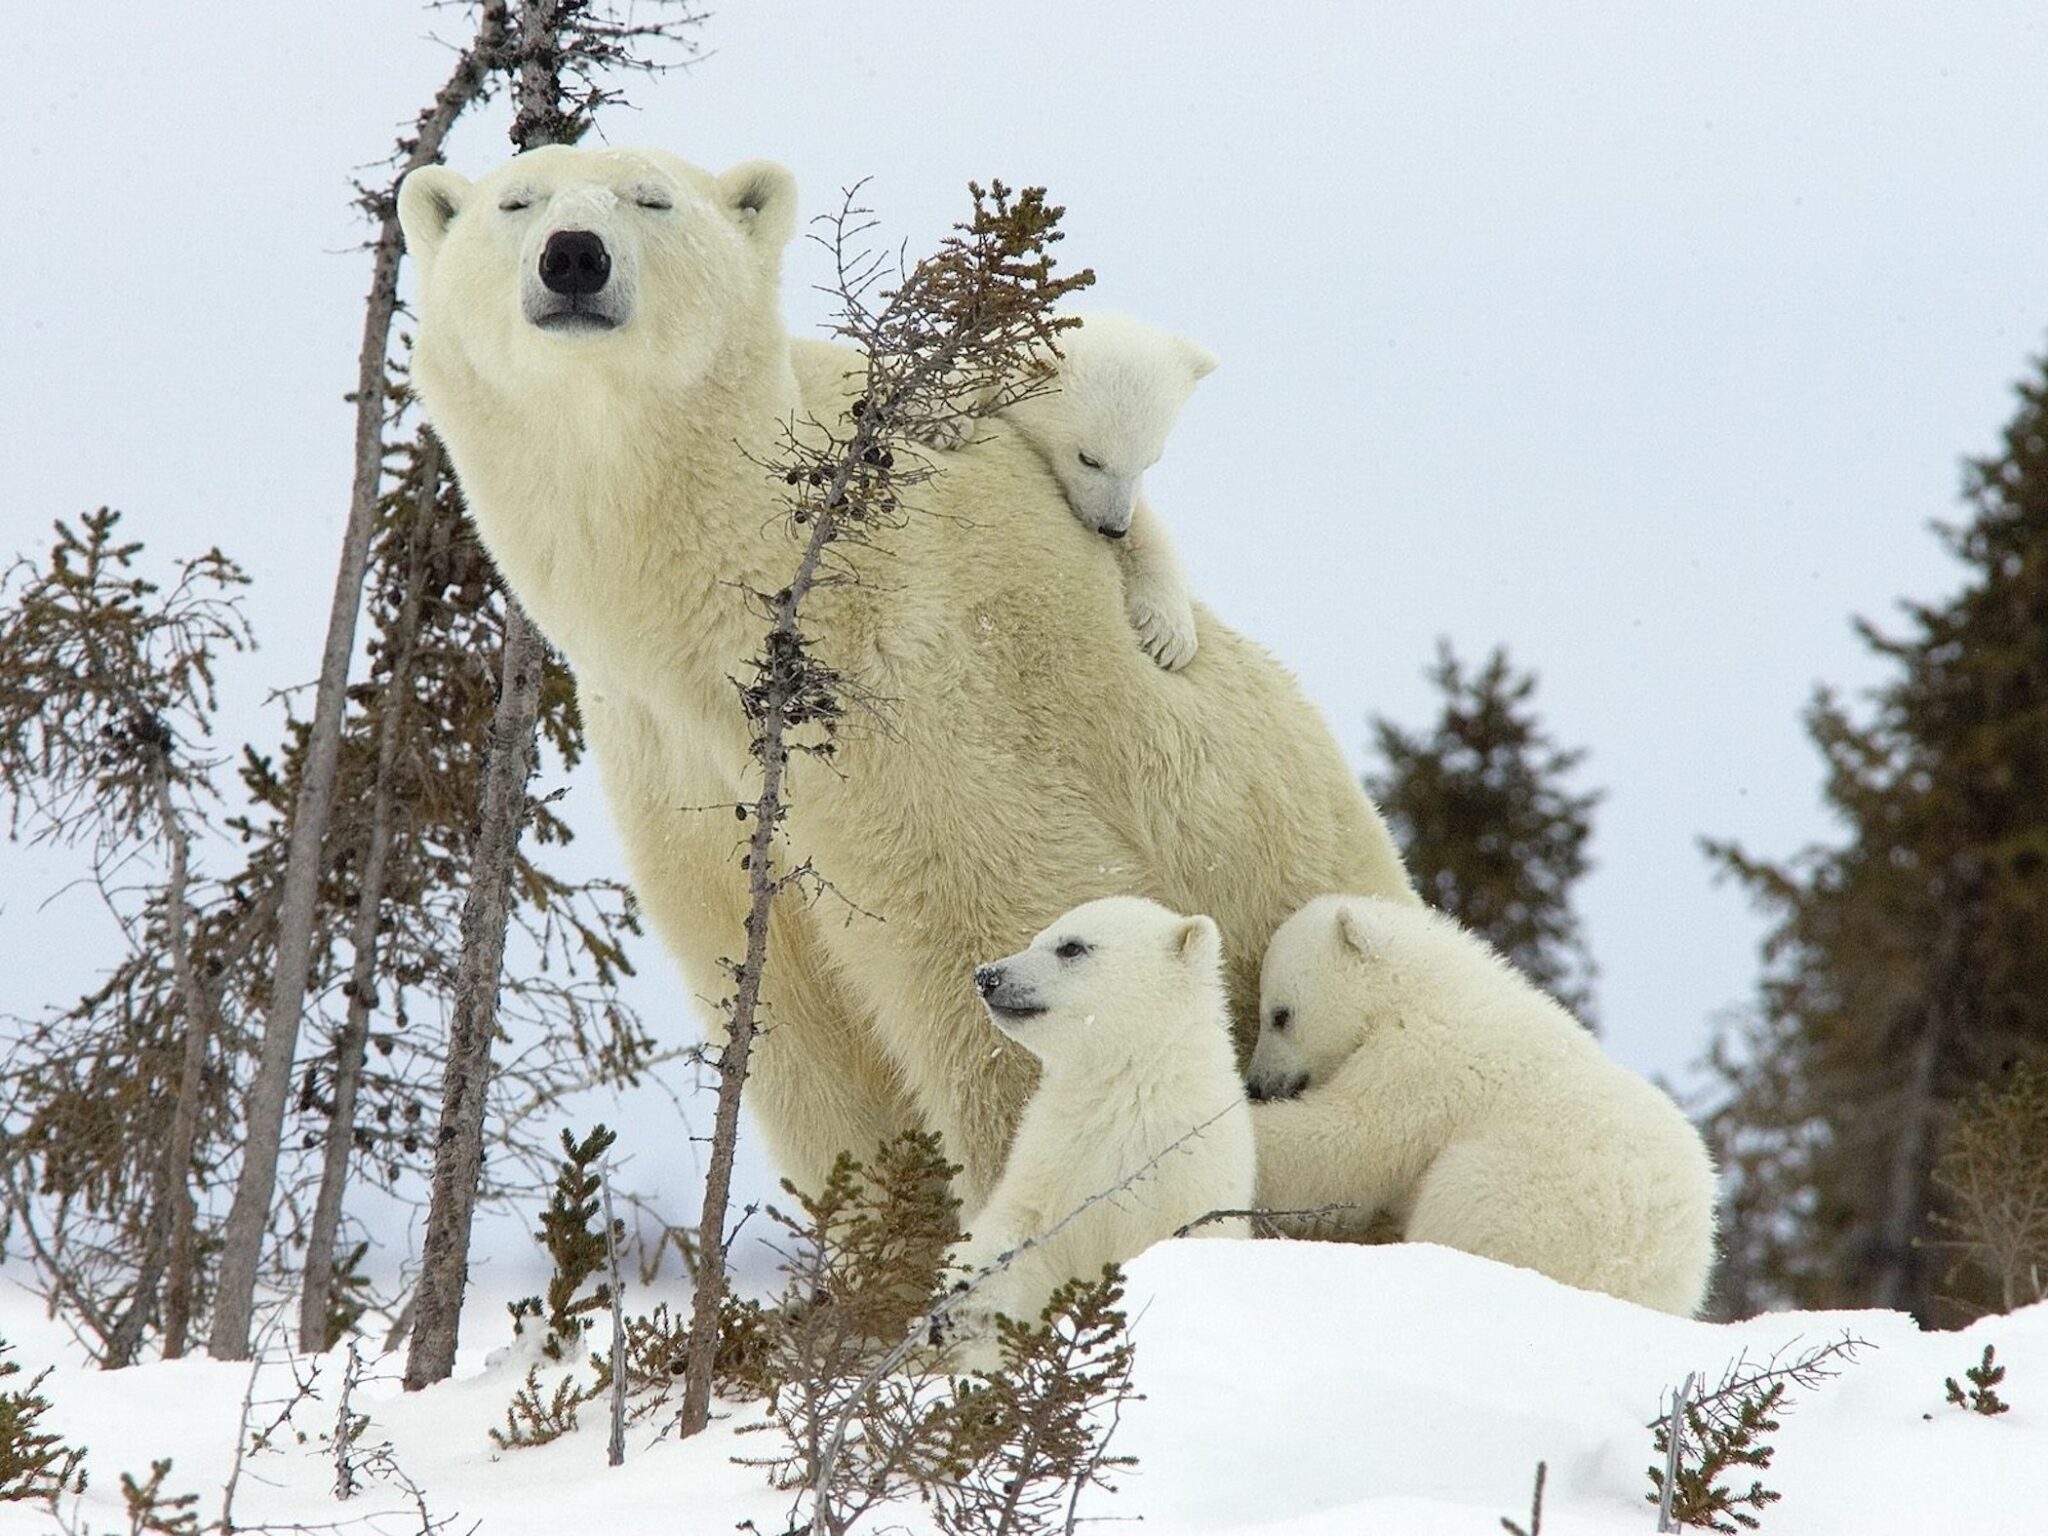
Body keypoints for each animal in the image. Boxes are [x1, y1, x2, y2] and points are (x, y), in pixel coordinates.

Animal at [925, 311, 1212, 667]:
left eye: (1150, 461)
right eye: (1088, 459)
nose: (1112, 528)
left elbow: (1148, 532)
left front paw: (1168, 637)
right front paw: (942, 417)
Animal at [937, 901, 1245, 1359]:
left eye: (1071, 947)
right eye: (1036, 938)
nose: (987, 976)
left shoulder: (1191, 1177)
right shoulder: (1054, 1156)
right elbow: (1021, 1229)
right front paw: (960, 1298)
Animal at [1245, 897, 1712, 1318]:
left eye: (1280, 1015)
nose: (1257, 1083)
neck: (1421, 988)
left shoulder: (1422, 1063)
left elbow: (1345, 1145)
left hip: (1523, 1200)